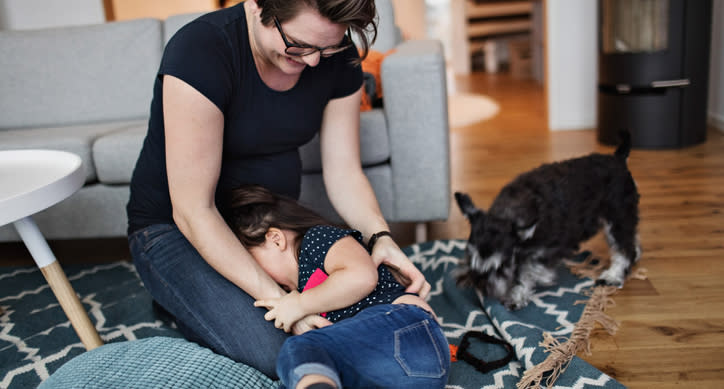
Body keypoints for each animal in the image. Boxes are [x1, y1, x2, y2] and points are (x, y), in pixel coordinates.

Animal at [458, 133, 640, 310]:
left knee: (624, 249)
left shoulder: (550, 248)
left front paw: (518, 295)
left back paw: (613, 275)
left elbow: (527, 271)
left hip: (617, 218)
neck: (509, 212)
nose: (479, 284)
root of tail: (618, 159)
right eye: (469, 256)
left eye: (500, 266)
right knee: (631, 239)